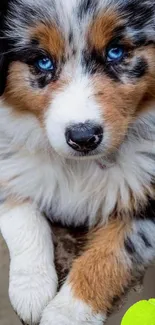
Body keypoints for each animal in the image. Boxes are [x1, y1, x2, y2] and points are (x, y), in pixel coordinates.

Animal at [0, 0, 155, 322]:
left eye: (116, 51)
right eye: (43, 62)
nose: (83, 137)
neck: (79, 165)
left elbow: (110, 253)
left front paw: (67, 313)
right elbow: (24, 217)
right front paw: (31, 289)